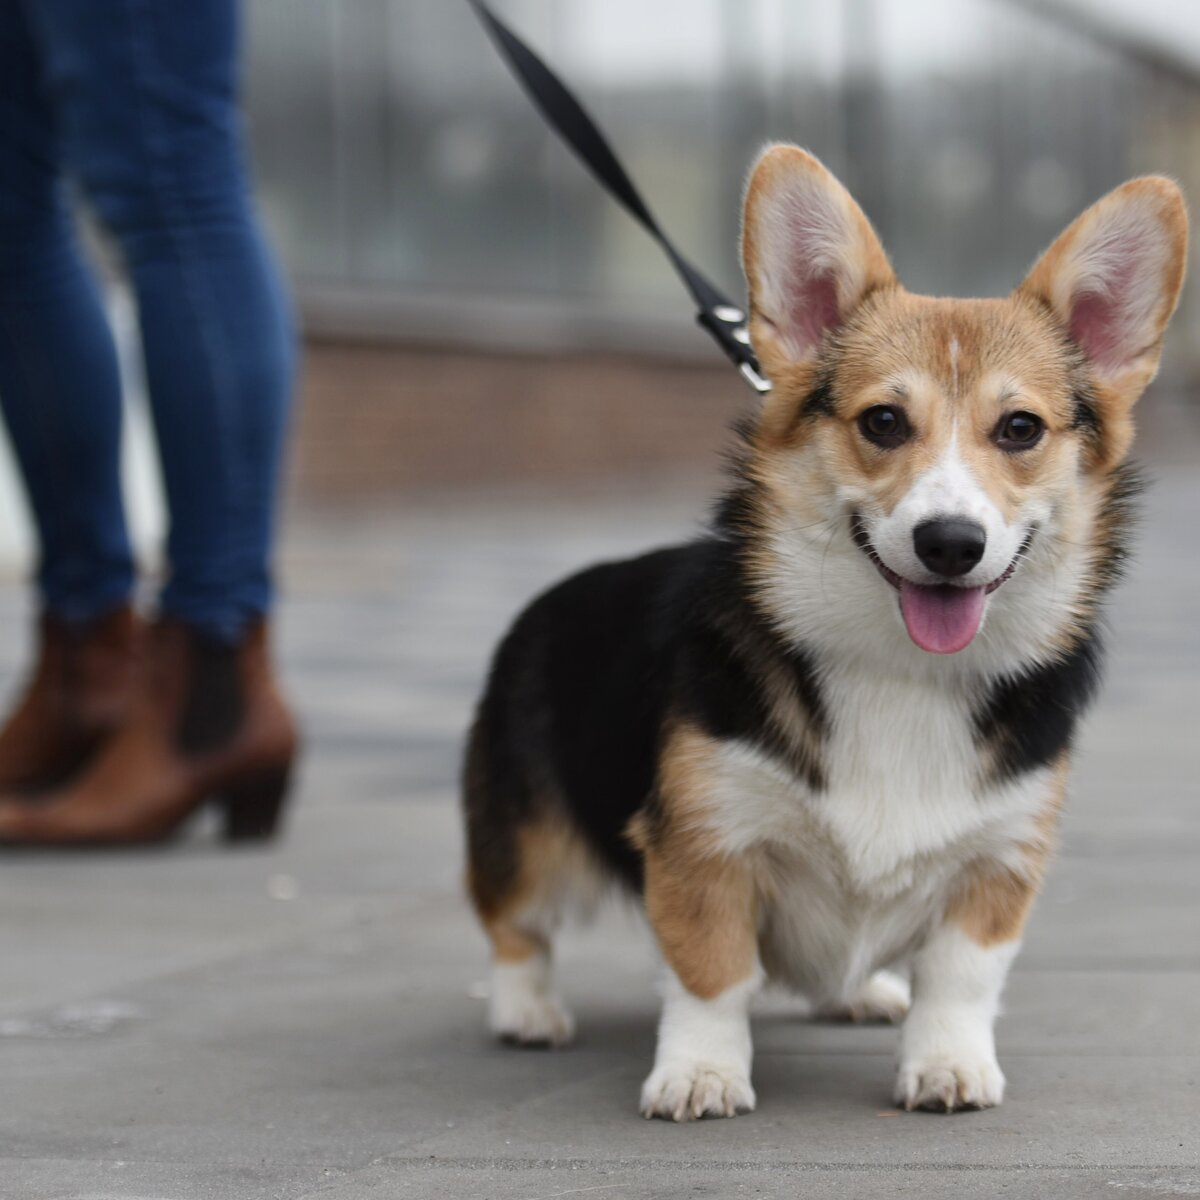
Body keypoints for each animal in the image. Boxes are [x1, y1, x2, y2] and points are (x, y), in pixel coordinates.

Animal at [463, 145, 1185, 1118]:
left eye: (1019, 428)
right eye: (883, 420)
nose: (950, 543)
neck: (898, 669)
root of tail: (552, 595)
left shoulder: (1000, 858)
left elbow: (961, 978)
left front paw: (949, 1064)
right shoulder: (707, 842)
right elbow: (712, 972)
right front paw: (700, 1073)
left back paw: (864, 993)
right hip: (528, 838)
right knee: (515, 925)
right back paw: (527, 1012)